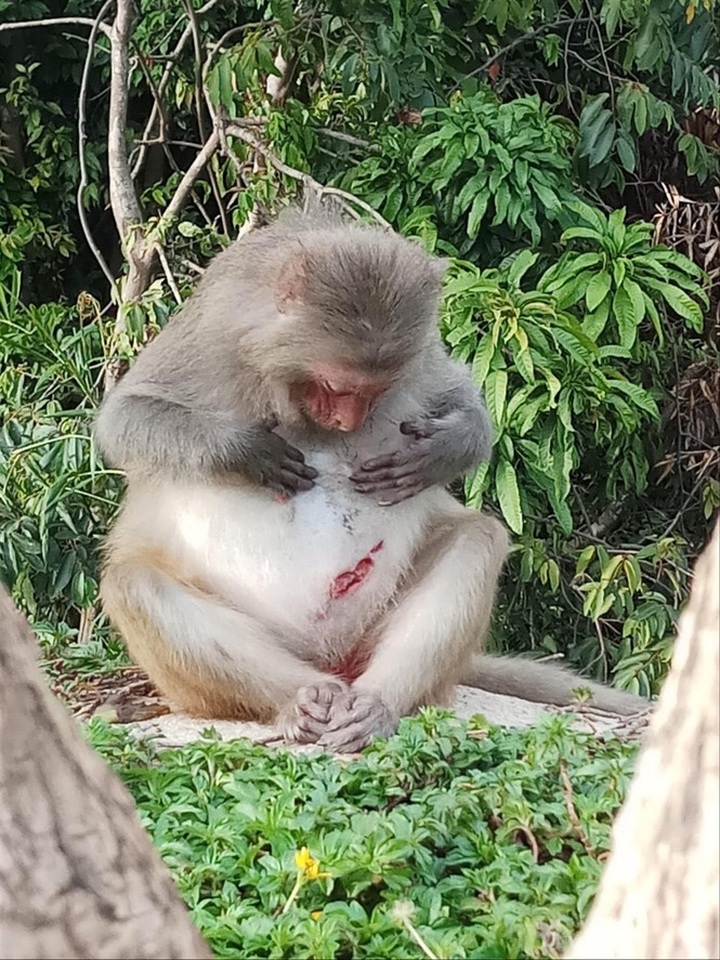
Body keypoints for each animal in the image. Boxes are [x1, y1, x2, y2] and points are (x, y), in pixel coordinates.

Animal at [94, 208, 648, 753]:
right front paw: (249, 452)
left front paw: (442, 449)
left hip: (371, 637)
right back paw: (301, 697)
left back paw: (374, 704)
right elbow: (124, 419)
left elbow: (464, 402)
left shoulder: (422, 356)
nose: (348, 422)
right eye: (335, 386)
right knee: (135, 585)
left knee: (476, 538)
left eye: (376, 390)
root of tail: (331, 660)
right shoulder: (211, 338)